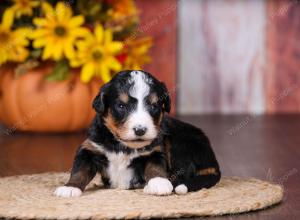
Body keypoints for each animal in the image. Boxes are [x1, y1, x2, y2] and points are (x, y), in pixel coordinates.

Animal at [54, 70, 220, 198]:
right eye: (121, 106)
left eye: (154, 106)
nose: (140, 130)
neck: (122, 146)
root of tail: (213, 160)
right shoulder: (90, 148)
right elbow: (79, 170)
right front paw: (70, 187)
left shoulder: (156, 149)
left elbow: (155, 165)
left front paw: (158, 183)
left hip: (180, 142)